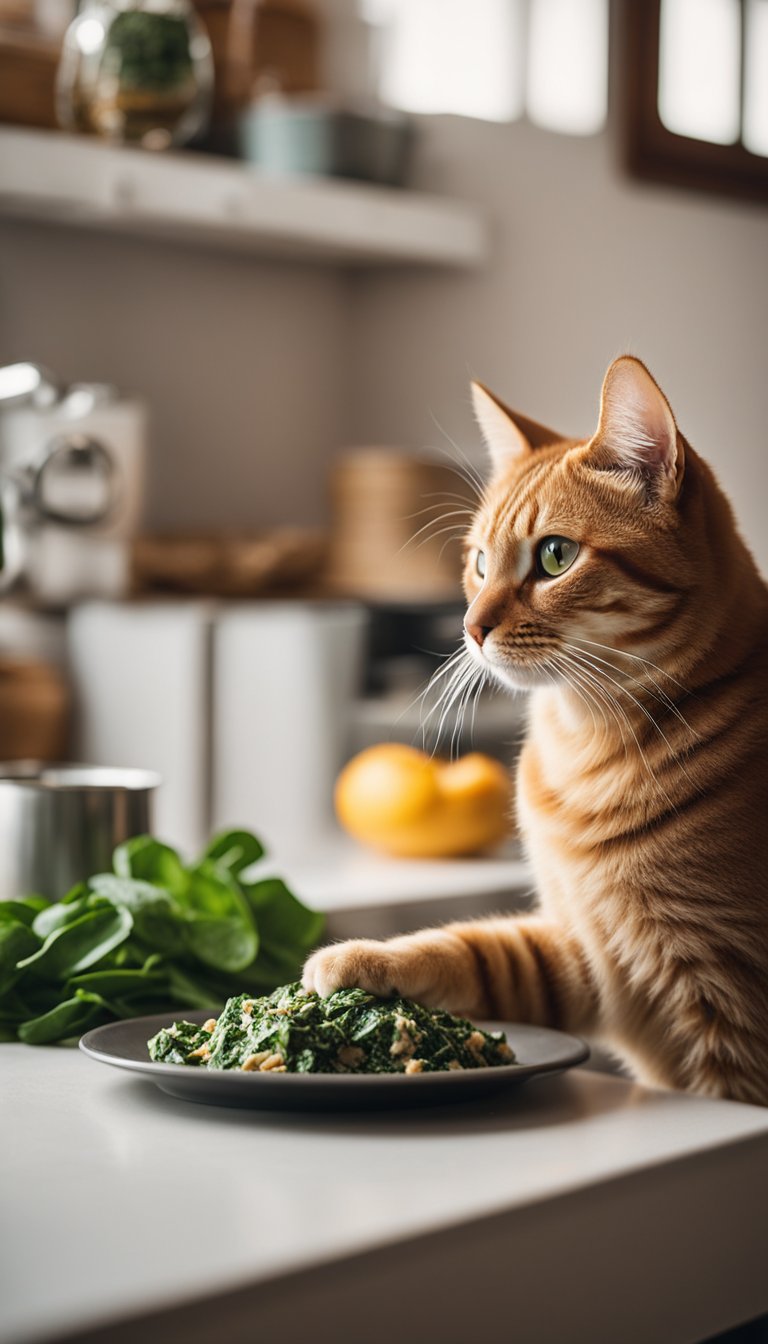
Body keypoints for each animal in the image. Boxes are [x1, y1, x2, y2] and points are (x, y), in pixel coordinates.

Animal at [303, 354, 763, 1102]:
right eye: (479, 562)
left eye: (554, 556)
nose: (468, 627)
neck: (585, 744)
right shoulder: (582, 958)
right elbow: (472, 950)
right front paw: (358, 960)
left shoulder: (728, 1001)